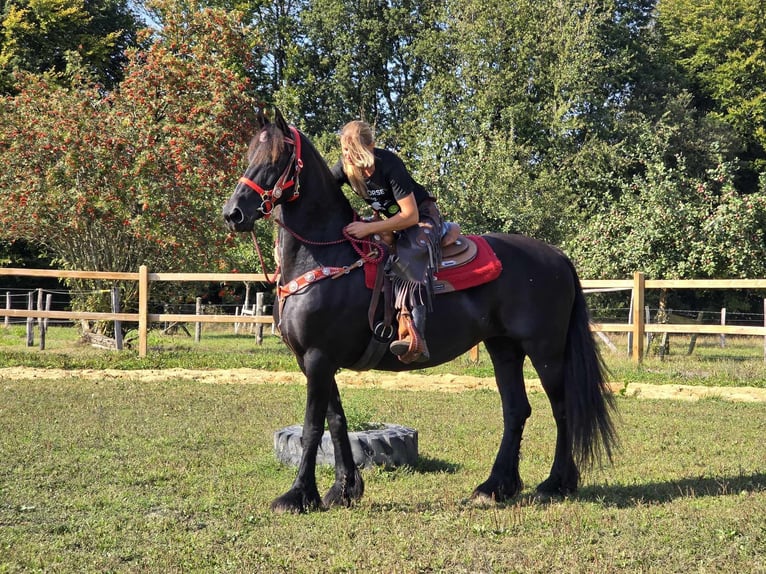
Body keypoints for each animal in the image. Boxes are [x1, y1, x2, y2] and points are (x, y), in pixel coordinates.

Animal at [222, 108, 616, 512]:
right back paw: (495, 486)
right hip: (504, 348)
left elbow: (313, 425)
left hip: (545, 350)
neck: (326, 256)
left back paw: (555, 483)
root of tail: (557, 256)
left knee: (561, 408)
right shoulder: (316, 360)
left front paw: (299, 495)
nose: (233, 213)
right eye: (250, 154)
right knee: (516, 410)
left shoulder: (318, 357)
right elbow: (336, 420)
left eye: (275, 159)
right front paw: (344, 489)